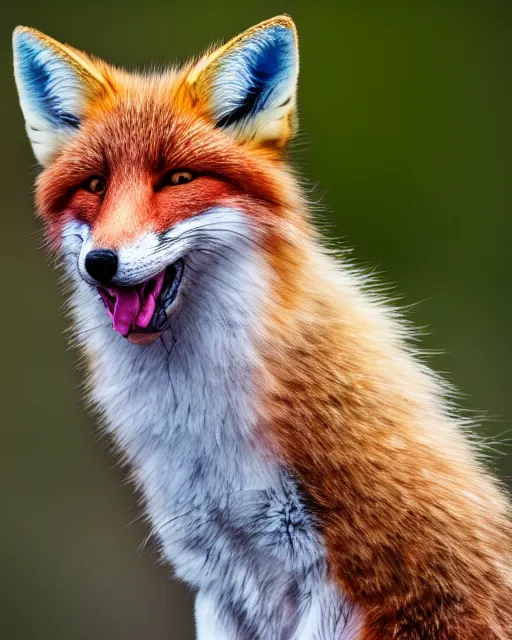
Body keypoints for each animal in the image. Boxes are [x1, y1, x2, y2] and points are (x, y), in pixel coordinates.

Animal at [11, 13, 512, 640]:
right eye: (96, 186)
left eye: (177, 178)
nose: (100, 261)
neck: (198, 423)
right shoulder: (214, 578)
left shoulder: (346, 571)